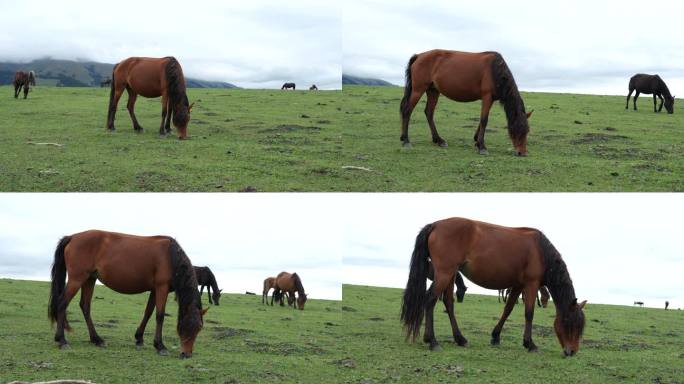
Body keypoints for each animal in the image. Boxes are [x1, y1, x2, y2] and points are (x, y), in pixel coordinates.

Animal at [48, 230, 206, 358]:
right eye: (185, 327)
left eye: (199, 328)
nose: (187, 354)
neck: (170, 256)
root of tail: (73, 237)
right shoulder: (162, 287)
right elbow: (159, 315)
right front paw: (160, 346)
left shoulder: (154, 290)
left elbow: (148, 312)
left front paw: (139, 338)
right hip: (77, 279)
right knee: (62, 303)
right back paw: (62, 340)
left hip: (89, 279)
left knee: (85, 306)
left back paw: (97, 339)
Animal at [400, 50, 536, 156]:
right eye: (517, 130)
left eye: (527, 131)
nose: (522, 153)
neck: (495, 70)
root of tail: (419, 56)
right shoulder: (487, 97)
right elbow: (484, 120)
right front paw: (482, 147)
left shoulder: (490, 99)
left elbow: (482, 120)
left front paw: (477, 141)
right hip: (418, 90)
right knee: (407, 111)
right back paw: (406, 140)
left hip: (433, 91)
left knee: (429, 113)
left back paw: (438, 140)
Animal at [400, 218, 588, 356]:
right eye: (569, 323)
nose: (572, 351)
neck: (540, 252)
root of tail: (436, 225)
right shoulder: (531, 284)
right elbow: (529, 313)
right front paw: (530, 344)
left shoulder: (518, 286)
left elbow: (508, 309)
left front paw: (496, 337)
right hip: (444, 274)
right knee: (430, 300)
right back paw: (432, 341)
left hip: (450, 275)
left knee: (448, 302)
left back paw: (460, 339)